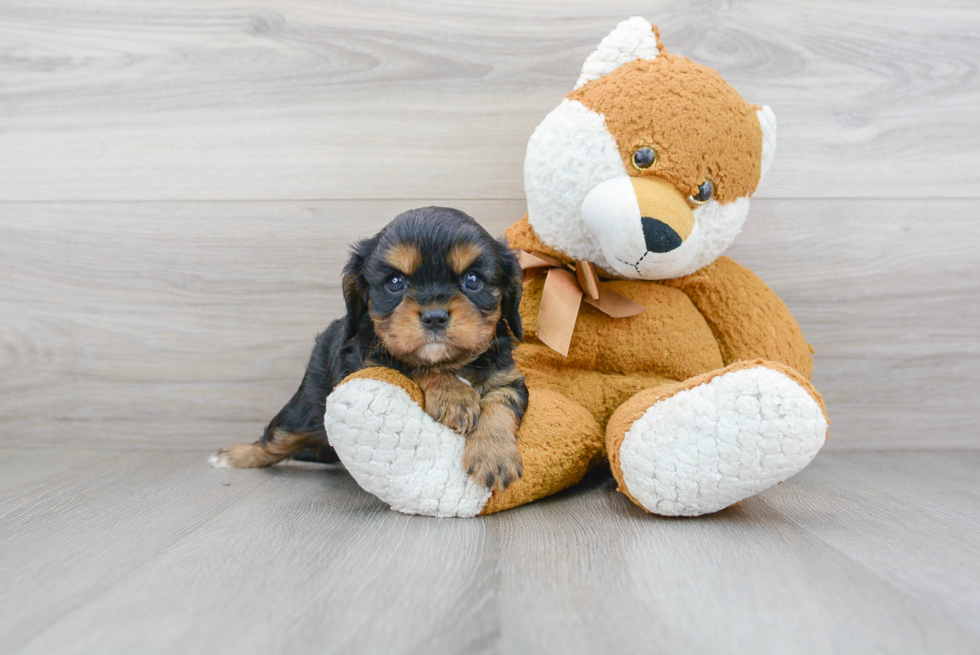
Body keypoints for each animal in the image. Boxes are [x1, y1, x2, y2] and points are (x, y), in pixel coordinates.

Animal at [209, 206, 528, 492]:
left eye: (473, 280)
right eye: (395, 282)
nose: (434, 316)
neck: (451, 363)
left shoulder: (507, 377)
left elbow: (500, 404)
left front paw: (493, 455)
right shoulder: (370, 359)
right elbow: (412, 363)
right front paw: (454, 395)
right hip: (301, 412)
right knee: (274, 439)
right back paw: (232, 456)